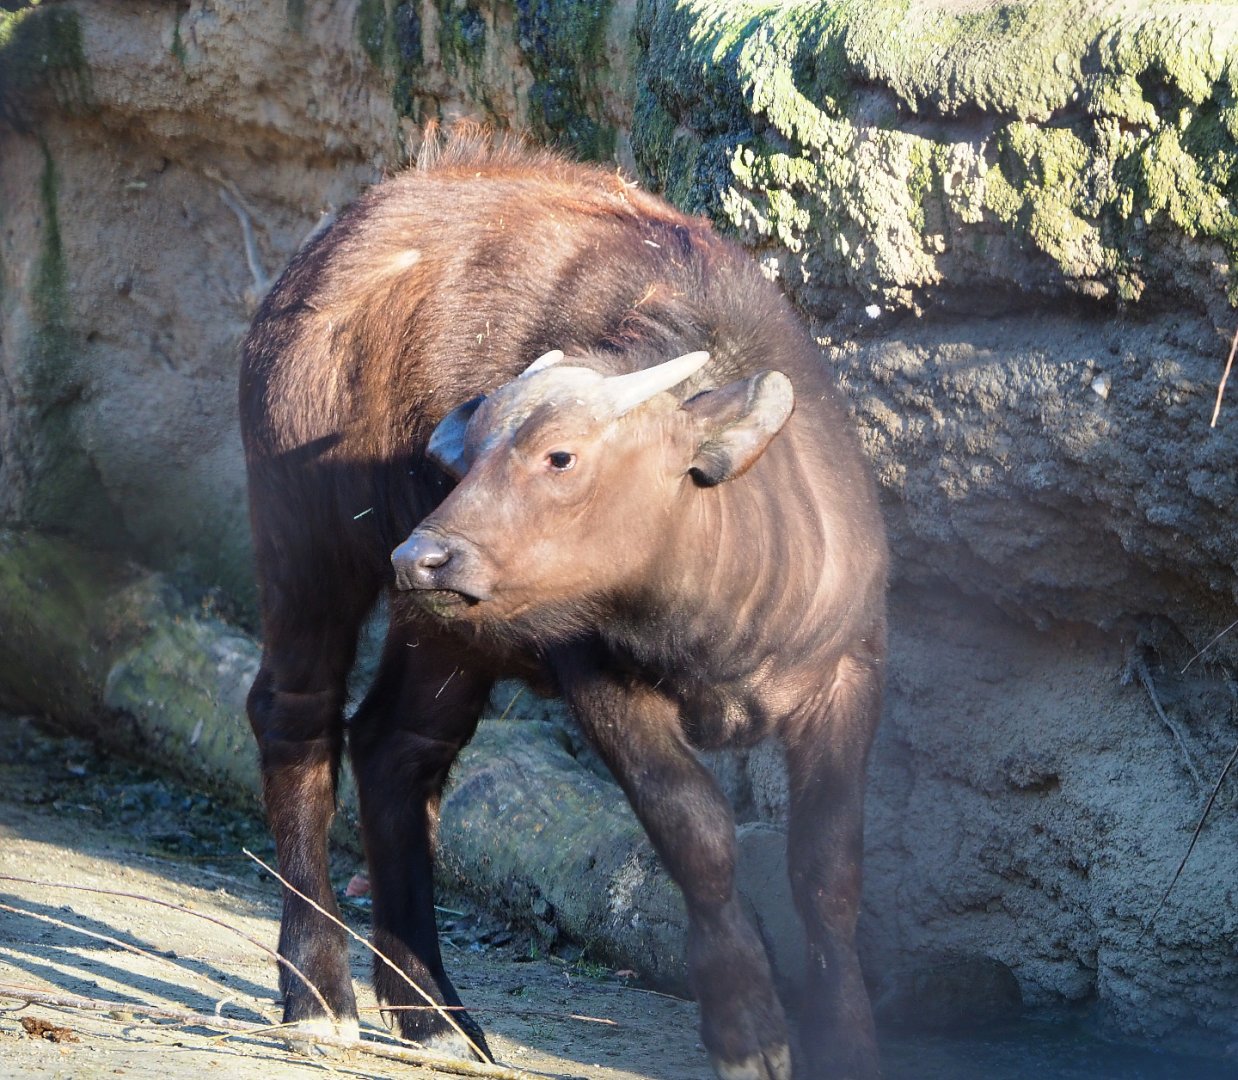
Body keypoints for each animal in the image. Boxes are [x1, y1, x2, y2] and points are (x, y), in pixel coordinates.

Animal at [240, 130, 888, 1080]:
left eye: (560, 455)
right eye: (464, 457)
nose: (423, 555)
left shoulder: (848, 679)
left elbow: (830, 872)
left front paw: (848, 1039)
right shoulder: (597, 676)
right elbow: (698, 833)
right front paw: (749, 1030)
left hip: (451, 630)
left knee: (395, 748)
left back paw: (434, 1013)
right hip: (305, 548)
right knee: (297, 717)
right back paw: (318, 991)